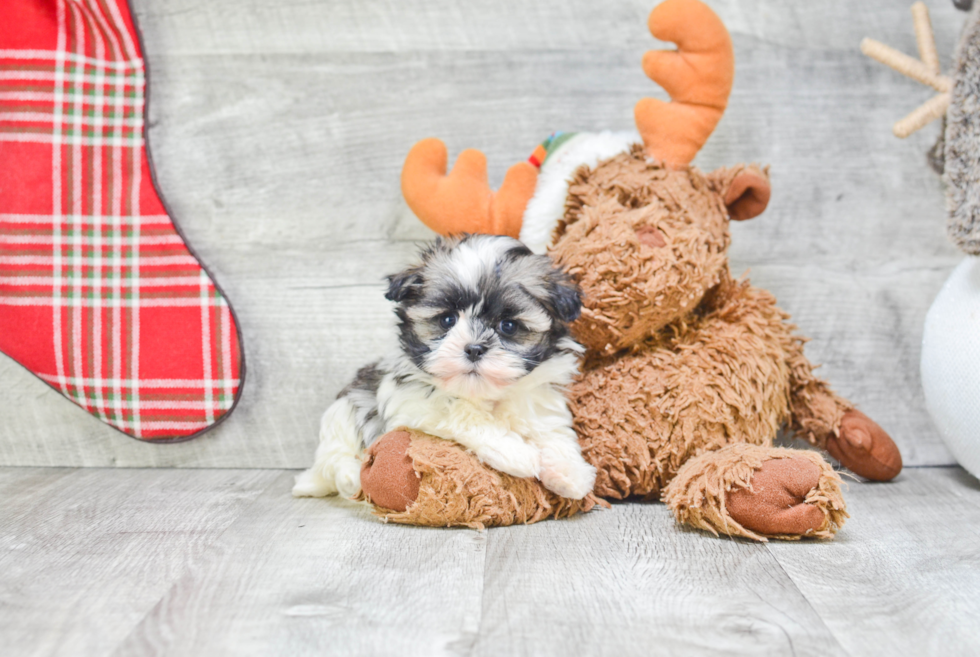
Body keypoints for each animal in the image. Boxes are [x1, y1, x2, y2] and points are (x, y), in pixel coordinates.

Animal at [290, 233, 596, 500]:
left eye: (508, 326)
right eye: (447, 319)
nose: (474, 348)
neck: (483, 393)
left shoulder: (537, 398)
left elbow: (552, 430)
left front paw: (571, 472)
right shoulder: (412, 404)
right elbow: (461, 413)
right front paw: (516, 454)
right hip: (341, 417)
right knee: (335, 463)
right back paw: (352, 475)